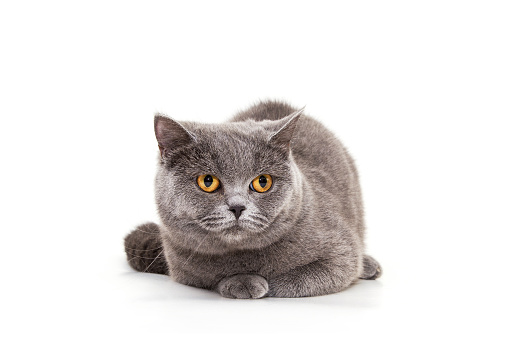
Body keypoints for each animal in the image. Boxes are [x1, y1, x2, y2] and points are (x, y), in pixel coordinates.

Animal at [124, 99, 380, 298]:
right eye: (207, 181)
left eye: (262, 182)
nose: (237, 207)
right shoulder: (182, 269)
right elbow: (211, 278)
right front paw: (242, 282)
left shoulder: (341, 254)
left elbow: (295, 281)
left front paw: (263, 283)